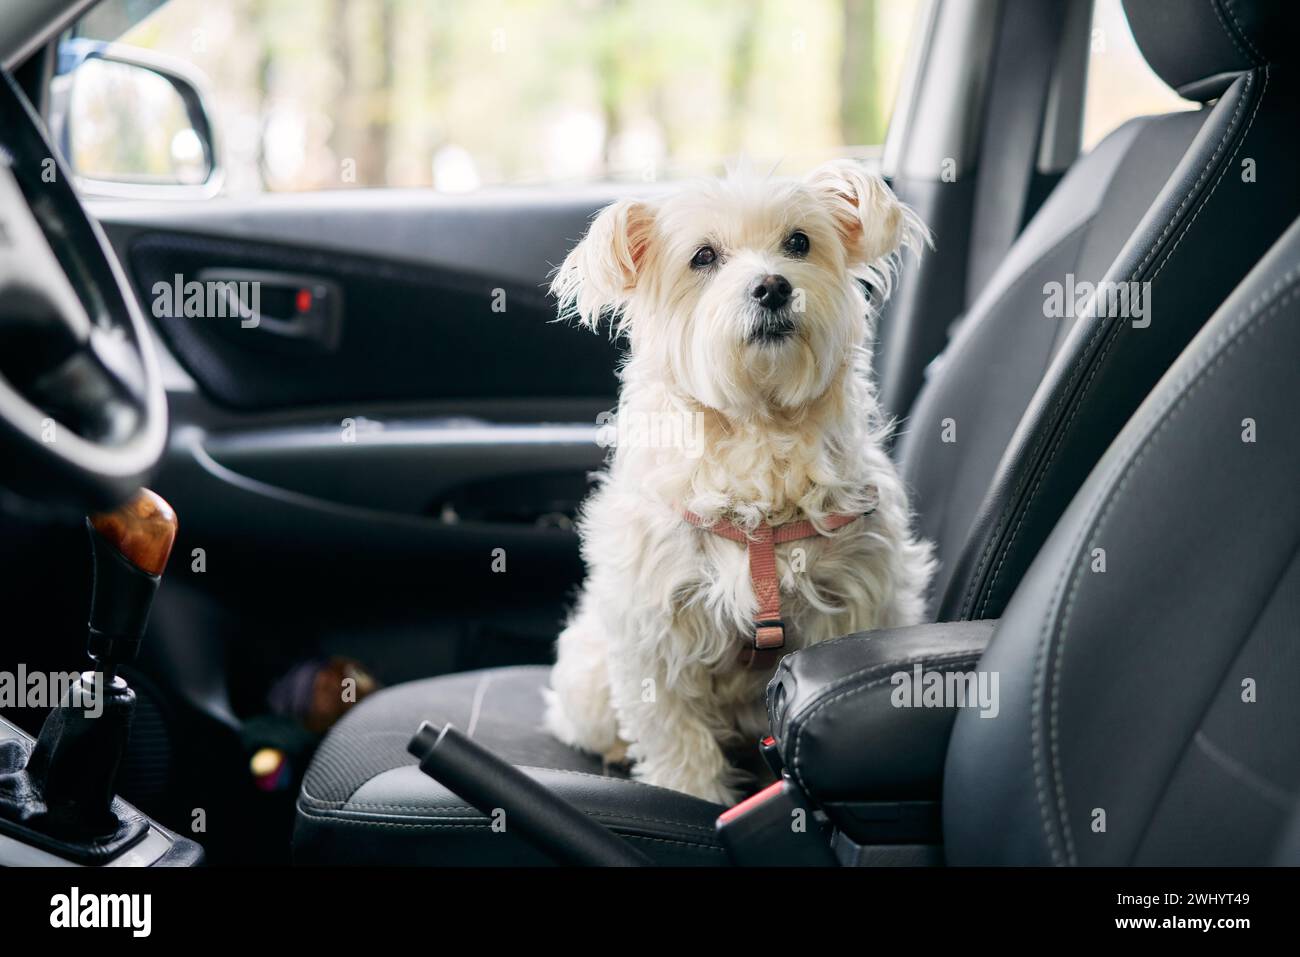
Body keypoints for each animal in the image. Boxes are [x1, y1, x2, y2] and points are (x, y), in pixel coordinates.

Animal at [540, 160, 935, 806]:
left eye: (799, 242)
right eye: (703, 256)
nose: (772, 287)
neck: (760, 426)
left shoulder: (857, 600)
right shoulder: (656, 629)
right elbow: (676, 736)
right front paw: (692, 795)